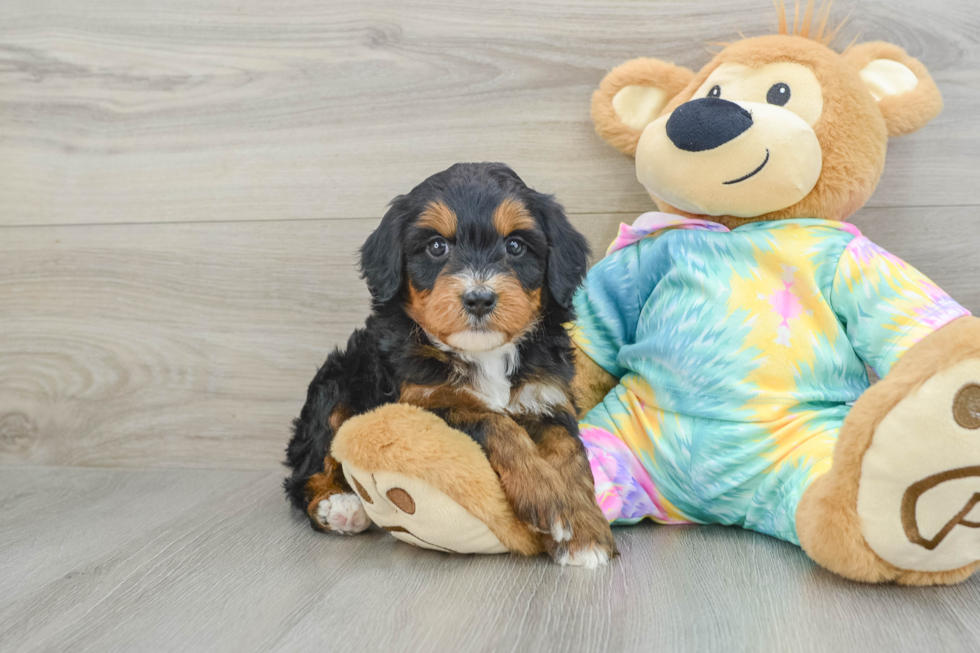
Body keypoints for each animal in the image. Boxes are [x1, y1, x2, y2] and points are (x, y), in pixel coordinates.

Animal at [284, 163, 616, 564]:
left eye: (515, 246)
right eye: (437, 247)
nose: (479, 298)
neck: (484, 354)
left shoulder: (547, 398)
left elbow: (570, 454)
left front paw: (583, 529)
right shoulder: (425, 402)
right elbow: (496, 423)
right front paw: (547, 497)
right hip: (335, 383)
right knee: (306, 470)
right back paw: (337, 505)